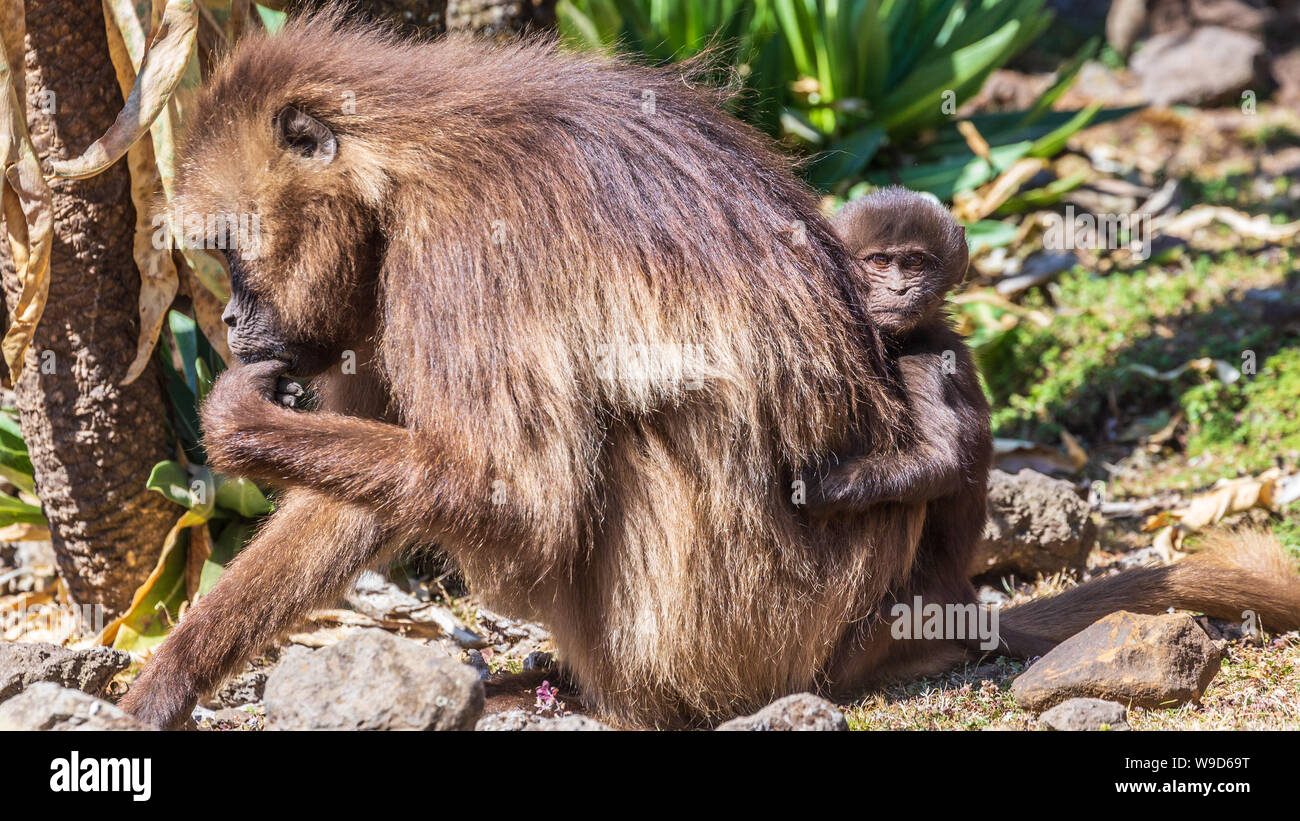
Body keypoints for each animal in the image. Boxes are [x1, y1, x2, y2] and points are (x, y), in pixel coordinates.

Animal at [119, 13, 1300, 729]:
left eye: (231, 253)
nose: (232, 318)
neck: (404, 164)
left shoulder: (455, 255)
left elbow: (522, 491)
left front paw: (240, 424)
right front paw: (167, 678)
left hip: (757, 628)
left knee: (614, 457)